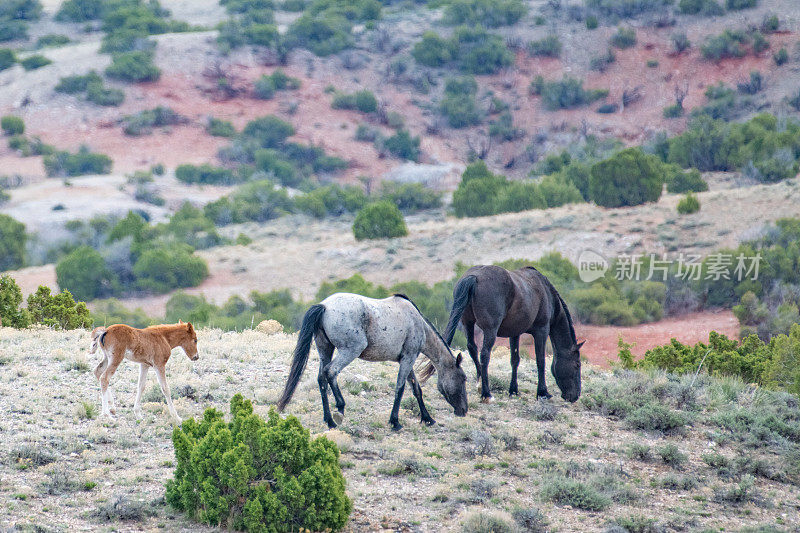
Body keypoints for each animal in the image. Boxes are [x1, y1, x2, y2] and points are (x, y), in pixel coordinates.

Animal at [282, 290, 468, 428]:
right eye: (464, 378)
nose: (464, 410)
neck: (418, 323)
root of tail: (324, 306)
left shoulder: (407, 359)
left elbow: (416, 388)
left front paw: (427, 419)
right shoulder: (409, 358)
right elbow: (400, 388)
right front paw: (395, 422)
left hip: (325, 349)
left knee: (321, 378)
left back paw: (329, 420)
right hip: (350, 350)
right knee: (331, 372)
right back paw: (340, 409)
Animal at [440, 266, 584, 404]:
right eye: (577, 364)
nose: (575, 396)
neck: (547, 293)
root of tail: (474, 277)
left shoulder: (515, 333)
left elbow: (515, 360)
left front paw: (513, 390)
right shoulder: (541, 331)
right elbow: (540, 361)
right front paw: (543, 393)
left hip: (468, 323)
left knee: (472, 348)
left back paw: (480, 385)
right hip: (490, 330)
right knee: (485, 354)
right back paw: (487, 394)